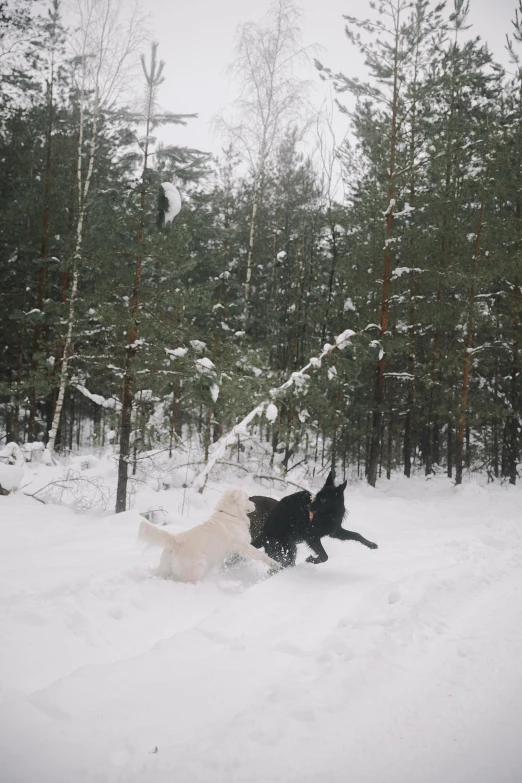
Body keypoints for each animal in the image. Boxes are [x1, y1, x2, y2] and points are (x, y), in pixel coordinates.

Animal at [136, 490, 278, 580]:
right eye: (247, 498)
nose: (254, 504)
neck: (230, 514)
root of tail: (174, 540)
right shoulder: (242, 546)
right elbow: (259, 554)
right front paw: (274, 563)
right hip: (197, 567)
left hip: (165, 569)